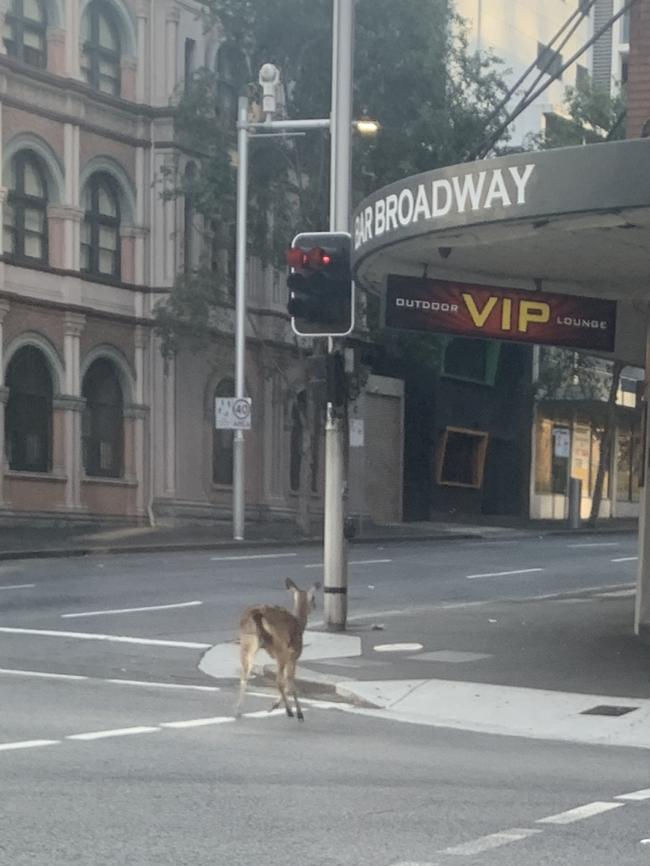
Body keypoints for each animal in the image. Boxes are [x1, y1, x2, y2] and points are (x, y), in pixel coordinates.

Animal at [235, 576, 322, 720]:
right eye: (313, 597)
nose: (315, 606)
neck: (300, 624)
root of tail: (257, 614)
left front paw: (274, 705)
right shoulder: (294, 654)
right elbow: (290, 681)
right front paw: (292, 711)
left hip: (247, 640)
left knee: (244, 674)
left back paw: (238, 710)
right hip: (280, 646)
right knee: (279, 680)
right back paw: (291, 711)